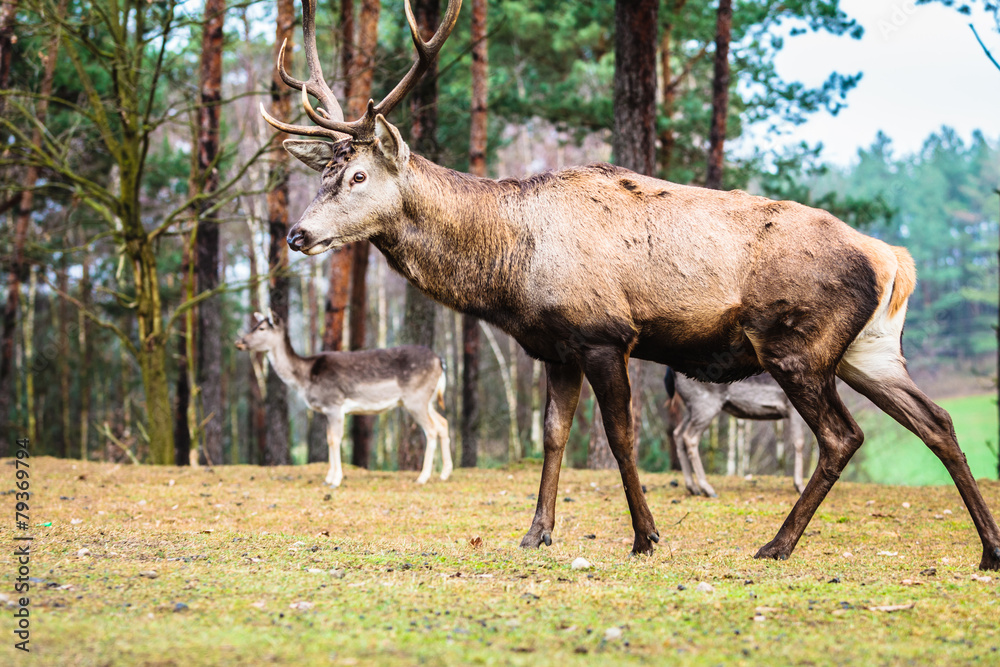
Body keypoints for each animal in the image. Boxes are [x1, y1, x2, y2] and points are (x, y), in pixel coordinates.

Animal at [235, 311, 451, 487]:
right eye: (254, 325)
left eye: (261, 328)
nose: (239, 342)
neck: (305, 379)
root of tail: (440, 361)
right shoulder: (326, 410)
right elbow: (329, 438)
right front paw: (328, 478)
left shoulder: (334, 404)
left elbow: (335, 439)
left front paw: (336, 480)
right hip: (427, 400)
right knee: (443, 423)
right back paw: (444, 474)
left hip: (415, 398)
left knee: (431, 430)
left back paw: (422, 477)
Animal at [664, 367, 807, 498]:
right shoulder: (792, 407)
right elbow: (799, 443)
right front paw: (799, 486)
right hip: (705, 403)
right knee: (689, 436)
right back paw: (707, 488)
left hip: (691, 407)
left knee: (678, 433)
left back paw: (693, 487)